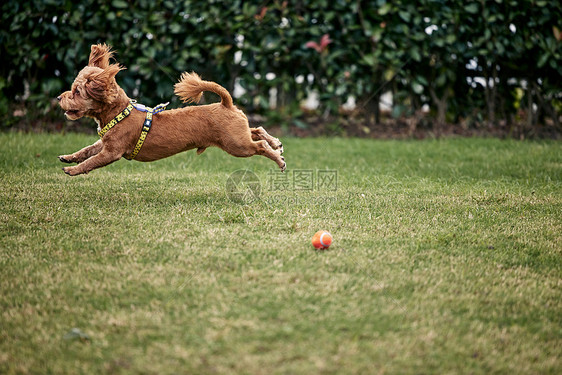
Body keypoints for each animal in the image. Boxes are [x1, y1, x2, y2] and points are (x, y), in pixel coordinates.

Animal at [57, 43, 284, 176]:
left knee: (259, 145)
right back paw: (276, 143)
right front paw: (69, 157)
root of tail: (225, 103)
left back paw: (278, 158)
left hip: (237, 145)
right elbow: (87, 150)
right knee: (257, 130)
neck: (120, 114)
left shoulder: (112, 152)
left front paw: (72, 169)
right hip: (237, 134)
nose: (59, 97)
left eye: (76, 92)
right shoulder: (103, 143)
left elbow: (92, 161)